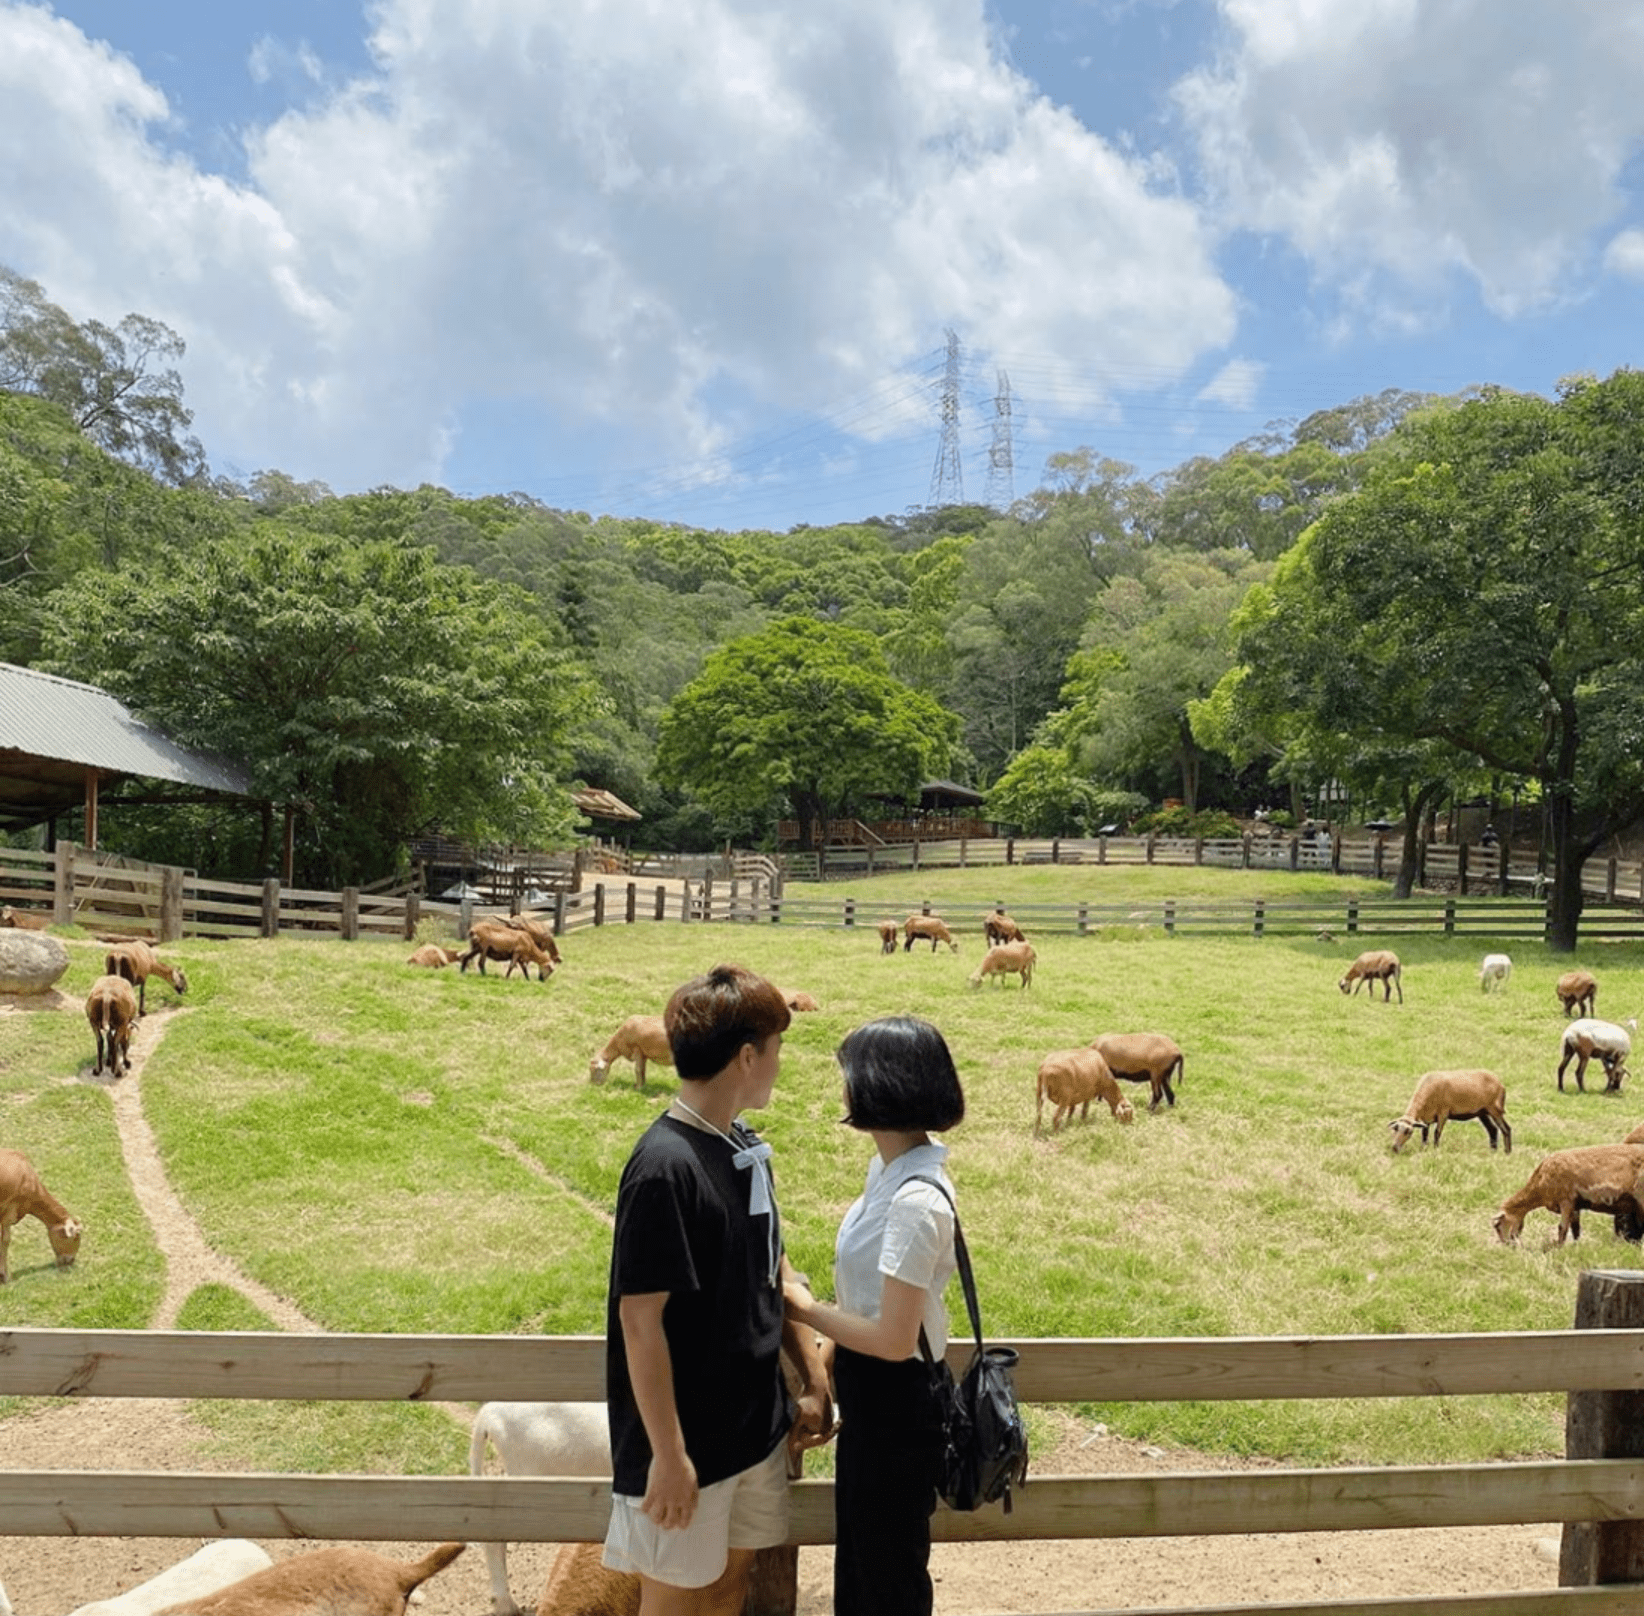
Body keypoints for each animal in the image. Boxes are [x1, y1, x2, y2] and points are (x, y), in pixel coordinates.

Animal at [1492, 1144, 1644, 1242]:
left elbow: (1562, 1228)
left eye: (1498, 1226)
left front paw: (1557, 1249)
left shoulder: (1566, 1200)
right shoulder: (1575, 1206)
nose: (1508, 1245)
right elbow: (1575, 1230)